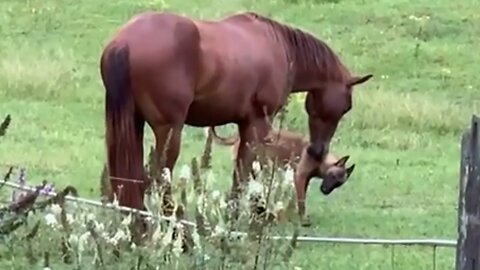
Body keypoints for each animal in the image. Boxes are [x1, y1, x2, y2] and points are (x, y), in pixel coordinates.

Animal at [99, 10, 374, 214]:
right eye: (347, 106)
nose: (317, 151)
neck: (279, 45)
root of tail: (124, 42)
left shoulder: (245, 125)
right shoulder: (258, 124)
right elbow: (248, 170)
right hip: (169, 131)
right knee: (158, 177)